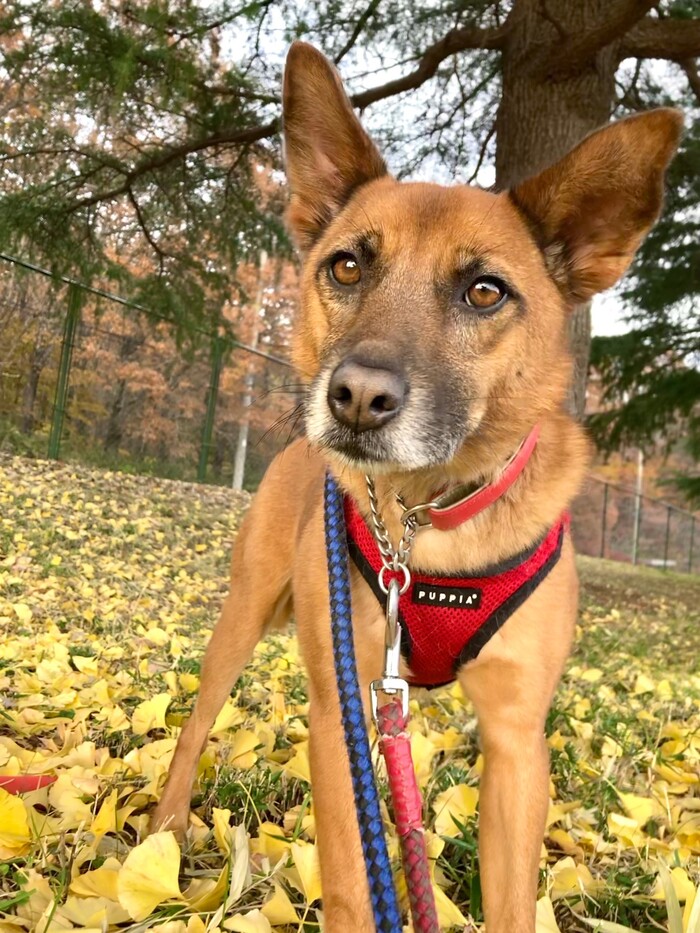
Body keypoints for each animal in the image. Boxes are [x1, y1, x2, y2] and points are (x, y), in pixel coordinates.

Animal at [152, 42, 682, 932]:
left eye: (484, 290)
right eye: (346, 265)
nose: (354, 398)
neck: (428, 522)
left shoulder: (516, 740)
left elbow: (510, 898)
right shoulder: (340, 716)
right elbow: (352, 887)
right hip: (244, 613)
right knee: (194, 727)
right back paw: (158, 832)